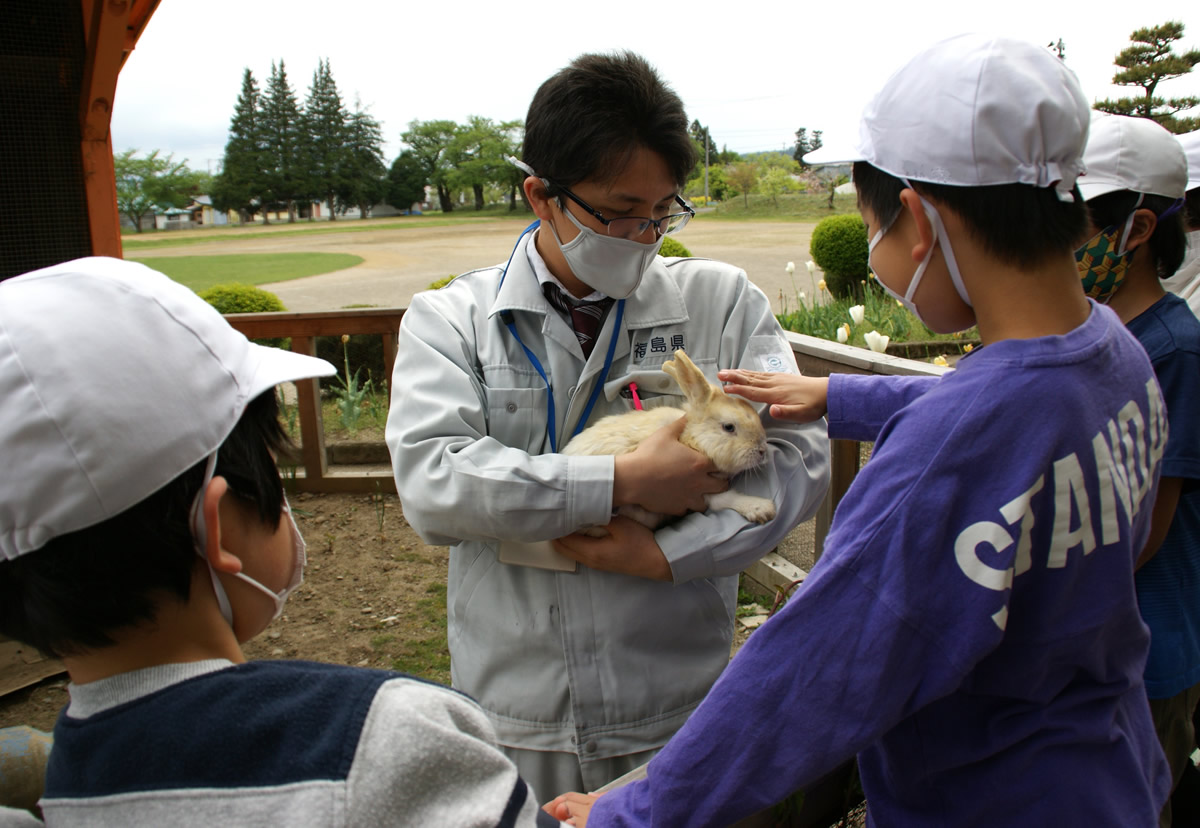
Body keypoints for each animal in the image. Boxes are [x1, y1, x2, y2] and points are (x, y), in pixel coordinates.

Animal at [561, 345, 777, 532]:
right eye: (729, 427)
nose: (762, 451)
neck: (691, 438)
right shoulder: (700, 488)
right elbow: (724, 499)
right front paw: (762, 508)